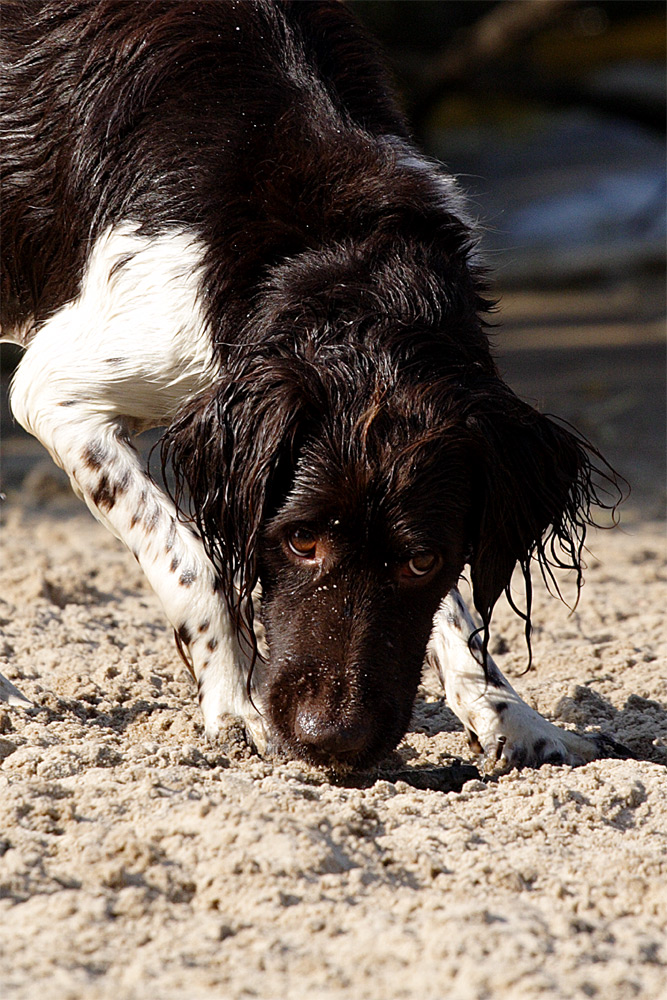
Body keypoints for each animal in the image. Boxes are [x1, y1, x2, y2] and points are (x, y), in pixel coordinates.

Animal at [2, 0, 624, 772]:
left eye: (422, 558)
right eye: (299, 541)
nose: (334, 742)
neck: (331, 250)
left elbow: (459, 615)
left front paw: (513, 717)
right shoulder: (55, 388)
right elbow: (192, 560)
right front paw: (235, 701)